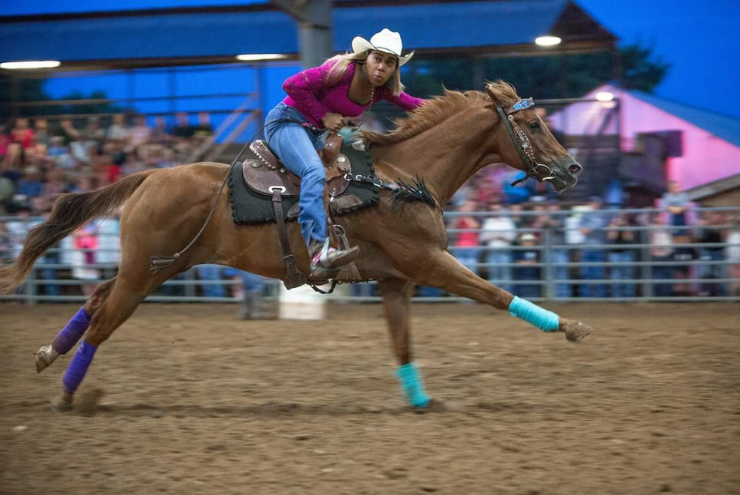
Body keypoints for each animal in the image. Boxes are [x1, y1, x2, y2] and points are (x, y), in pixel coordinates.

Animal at [0, 82, 588, 414]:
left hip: (154, 267)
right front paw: (568, 327)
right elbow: (493, 293)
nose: (573, 167)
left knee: (97, 296)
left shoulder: (396, 281)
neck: (397, 178)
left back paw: (48, 355)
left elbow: (402, 344)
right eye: (533, 123)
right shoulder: (430, 263)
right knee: (103, 322)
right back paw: (68, 395)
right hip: (145, 273)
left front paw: (421, 401)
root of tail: (150, 175)